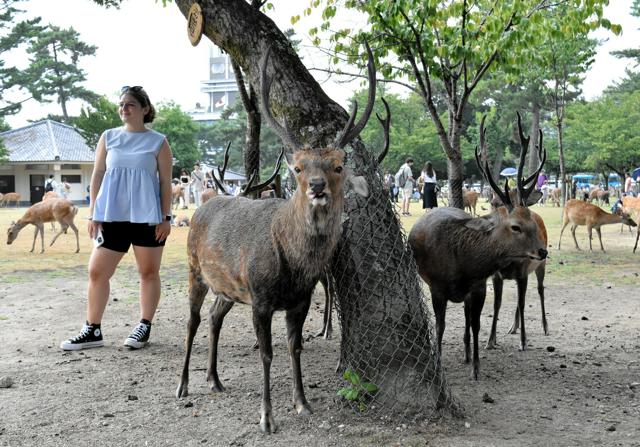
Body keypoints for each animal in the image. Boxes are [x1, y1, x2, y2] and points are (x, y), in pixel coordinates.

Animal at [408, 114, 548, 380]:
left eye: (531, 222)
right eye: (515, 226)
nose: (542, 251)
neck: (463, 264)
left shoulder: (479, 286)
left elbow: (477, 325)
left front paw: (476, 367)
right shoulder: (437, 287)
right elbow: (440, 326)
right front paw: (438, 364)